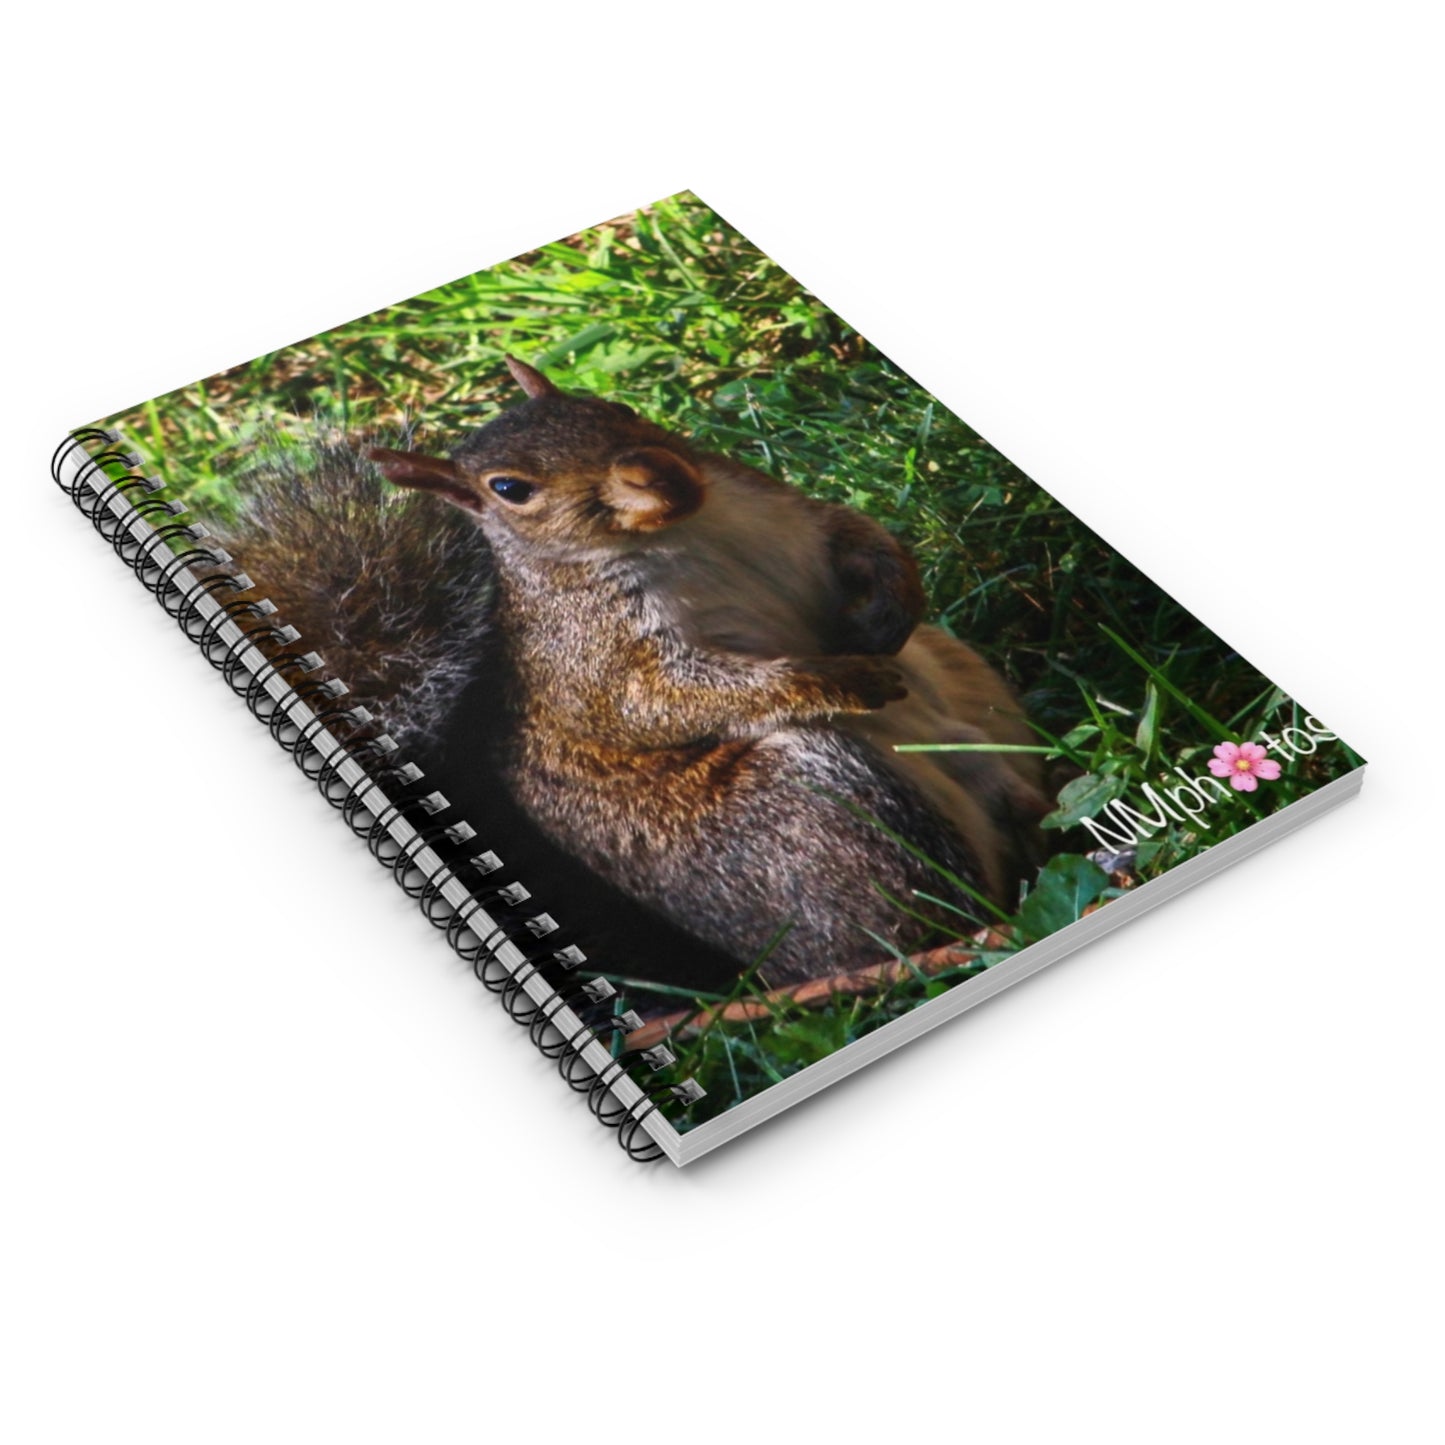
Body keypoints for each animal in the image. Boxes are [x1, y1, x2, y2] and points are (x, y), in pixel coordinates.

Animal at [337, 358, 1047, 987]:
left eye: (612, 407)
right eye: (509, 489)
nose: (655, 471)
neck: (686, 531)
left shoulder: (787, 509)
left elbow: (854, 531)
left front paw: (891, 600)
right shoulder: (591, 656)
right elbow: (661, 700)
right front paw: (845, 679)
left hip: (964, 675)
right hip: (818, 806)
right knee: (946, 910)